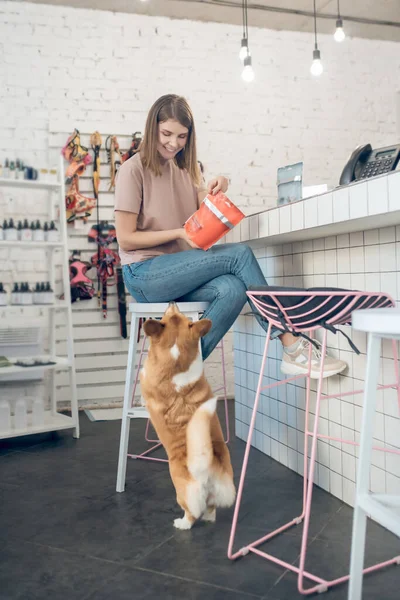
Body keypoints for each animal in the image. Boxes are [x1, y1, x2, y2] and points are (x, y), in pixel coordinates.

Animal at [141, 302, 236, 528]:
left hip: (181, 491)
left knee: (192, 513)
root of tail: (206, 465)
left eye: (169, 314)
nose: (172, 302)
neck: (177, 363)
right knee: (211, 508)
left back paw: (181, 523)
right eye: (178, 314)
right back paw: (209, 518)